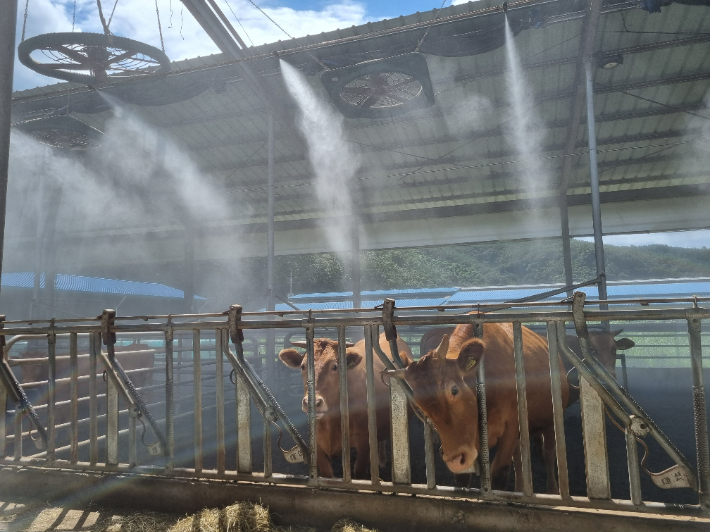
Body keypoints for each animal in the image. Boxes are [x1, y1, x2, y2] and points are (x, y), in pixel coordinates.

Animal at [276, 332, 412, 478]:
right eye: (302, 366)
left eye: (335, 366)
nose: (312, 402)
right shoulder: (317, 445)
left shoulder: (364, 442)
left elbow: (359, 470)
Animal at [386, 322, 572, 492]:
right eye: (419, 405)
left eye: (454, 390)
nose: (454, 460)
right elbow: (462, 478)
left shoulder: (512, 425)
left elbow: (499, 473)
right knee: (519, 458)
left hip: (550, 421)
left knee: (549, 453)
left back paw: (552, 489)